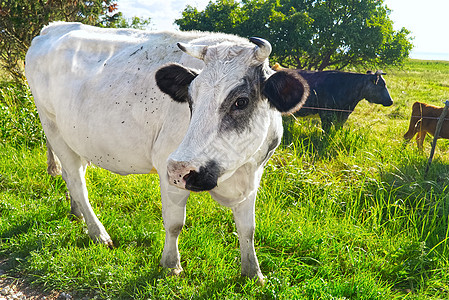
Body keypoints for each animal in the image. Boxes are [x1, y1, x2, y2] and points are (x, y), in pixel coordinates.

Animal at [25, 21, 308, 282]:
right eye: (190, 100)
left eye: (241, 101)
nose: (181, 169)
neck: (238, 174)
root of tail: (52, 28)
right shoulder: (167, 169)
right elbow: (174, 224)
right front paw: (171, 264)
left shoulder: (253, 175)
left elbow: (248, 229)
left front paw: (253, 273)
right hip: (52, 126)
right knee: (77, 181)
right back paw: (98, 233)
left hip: (74, 139)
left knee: (73, 176)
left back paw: (77, 214)